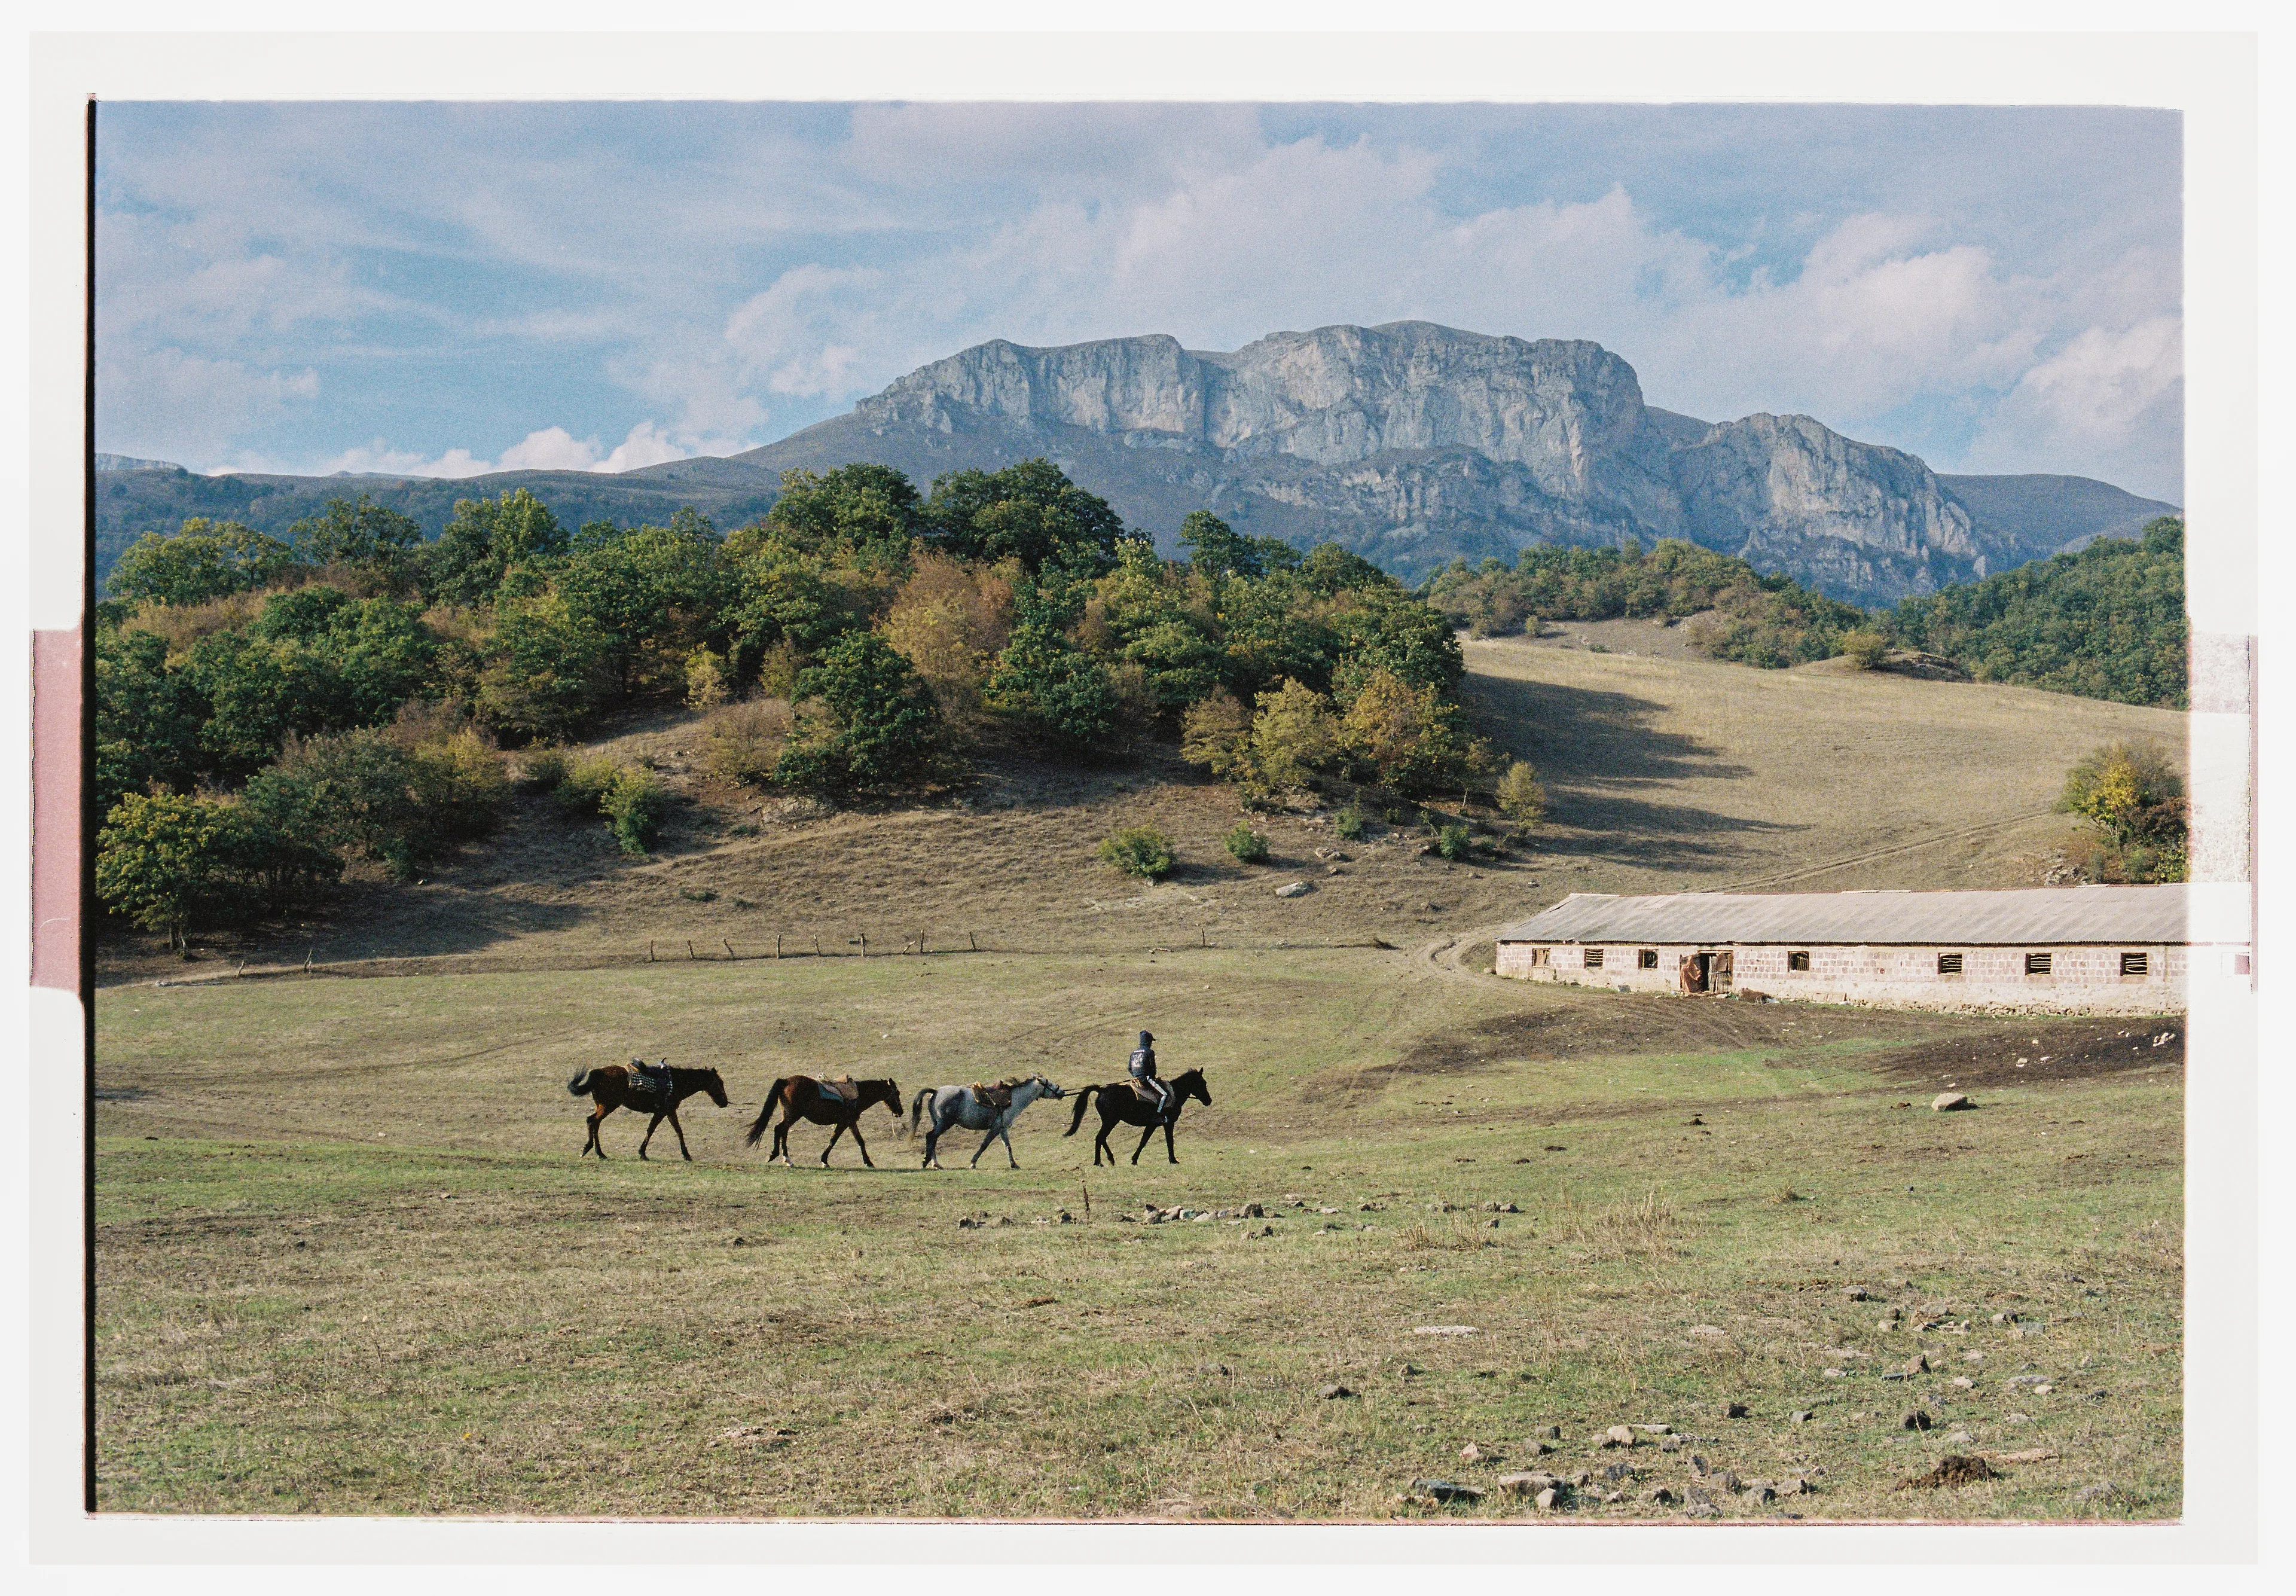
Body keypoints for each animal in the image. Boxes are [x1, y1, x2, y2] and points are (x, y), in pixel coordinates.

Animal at [564, 1061, 725, 1162]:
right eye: (719, 1083)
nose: (724, 1102)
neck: (676, 1082)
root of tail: (597, 1073)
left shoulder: (667, 1111)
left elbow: (669, 1130)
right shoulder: (664, 1111)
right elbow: (660, 1130)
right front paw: (686, 1155)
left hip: (602, 1106)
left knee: (593, 1122)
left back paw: (595, 1152)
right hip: (608, 1106)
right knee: (593, 1121)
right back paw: (592, 1151)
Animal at [748, 1079, 900, 1166]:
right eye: (897, 1093)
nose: (901, 1112)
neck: (858, 1095)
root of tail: (786, 1080)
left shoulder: (849, 1123)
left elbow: (855, 1140)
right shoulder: (846, 1122)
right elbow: (838, 1140)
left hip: (789, 1115)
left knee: (782, 1131)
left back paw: (786, 1159)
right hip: (793, 1115)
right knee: (779, 1129)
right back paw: (778, 1156)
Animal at [904, 1075, 1065, 1176]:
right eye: (1049, 1083)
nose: (1062, 1092)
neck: (1013, 1099)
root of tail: (936, 1092)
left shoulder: (1002, 1129)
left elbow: (1008, 1146)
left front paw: (1014, 1164)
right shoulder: (995, 1129)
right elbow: (984, 1145)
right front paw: (973, 1163)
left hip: (938, 1123)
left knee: (933, 1140)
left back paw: (936, 1164)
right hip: (944, 1124)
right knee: (930, 1137)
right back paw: (927, 1161)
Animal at [1056, 1065, 1203, 1166]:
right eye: (1203, 1083)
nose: (1207, 1100)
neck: (1174, 1093)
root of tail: (1101, 1090)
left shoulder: (1153, 1125)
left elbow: (1144, 1140)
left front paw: (1134, 1160)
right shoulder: (1166, 1123)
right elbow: (1166, 1141)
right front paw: (1173, 1160)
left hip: (1110, 1122)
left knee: (1102, 1138)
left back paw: (1110, 1159)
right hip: (1110, 1121)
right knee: (1100, 1138)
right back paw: (1099, 1162)